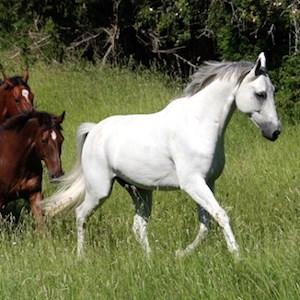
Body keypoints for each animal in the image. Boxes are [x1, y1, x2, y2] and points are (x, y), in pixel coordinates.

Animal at [41, 53, 282, 258]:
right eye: (260, 94)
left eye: (273, 91)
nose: (275, 132)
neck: (198, 124)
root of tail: (93, 130)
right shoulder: (193, 183)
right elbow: (221, 215)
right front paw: (237, 255)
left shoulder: (208, 183)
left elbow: (205, 224)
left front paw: (180, 254)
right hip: (99, 190)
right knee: (80, 214)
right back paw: (81, 257)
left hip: (139, 191)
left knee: (138, 226)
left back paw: (149, 260)